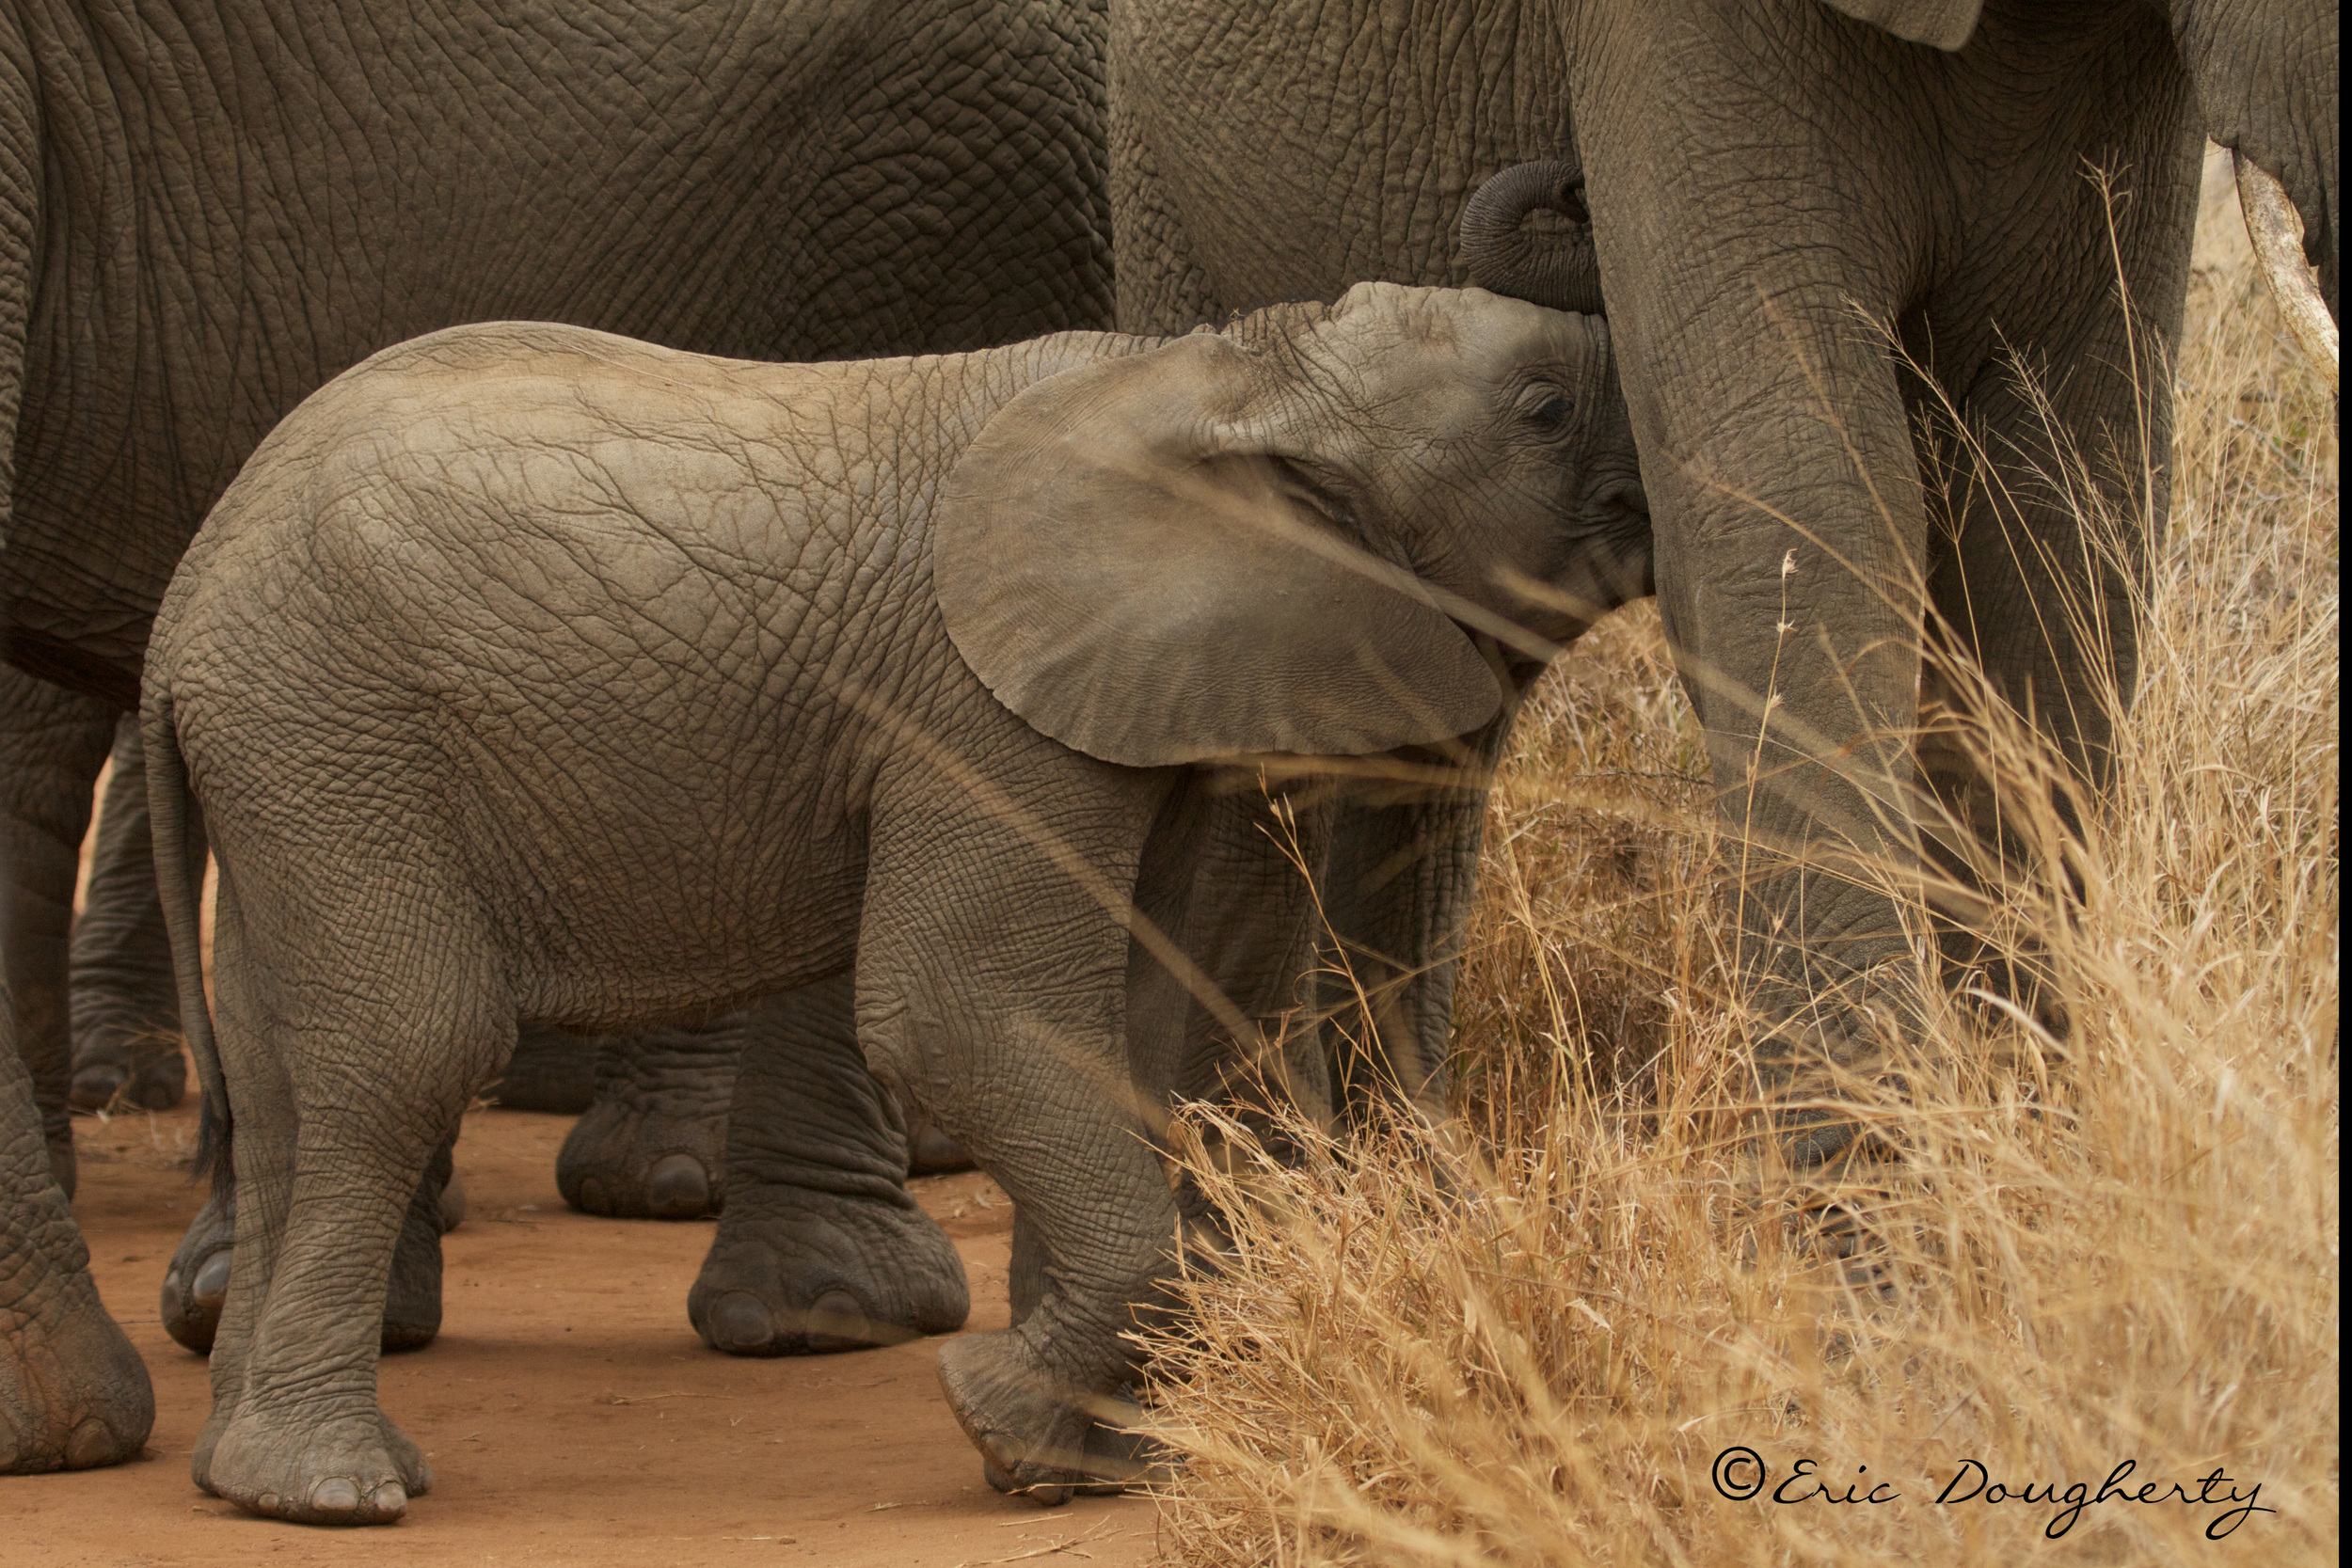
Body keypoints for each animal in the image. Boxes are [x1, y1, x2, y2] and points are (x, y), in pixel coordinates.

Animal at [139, 282, 1651, 1521]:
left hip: (285, 762)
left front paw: (1082, 1455)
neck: (1215, 369)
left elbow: (1137, 1026)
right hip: (333, 732)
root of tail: (184, 597)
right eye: (1544, 409)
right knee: (407, 1051)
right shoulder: (974, 709)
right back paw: (330, 1493)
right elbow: (958, 1009)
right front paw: (1004, 1426)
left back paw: (234, 1476)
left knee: (277, 1084)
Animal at [1108, 0, 2337, 1156]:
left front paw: (2019, 1137)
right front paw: (1885, 1215)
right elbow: (1795, 481)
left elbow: (2062, 483)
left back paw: (1398, 1162)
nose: (1566, 186)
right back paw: (1259, 1173)